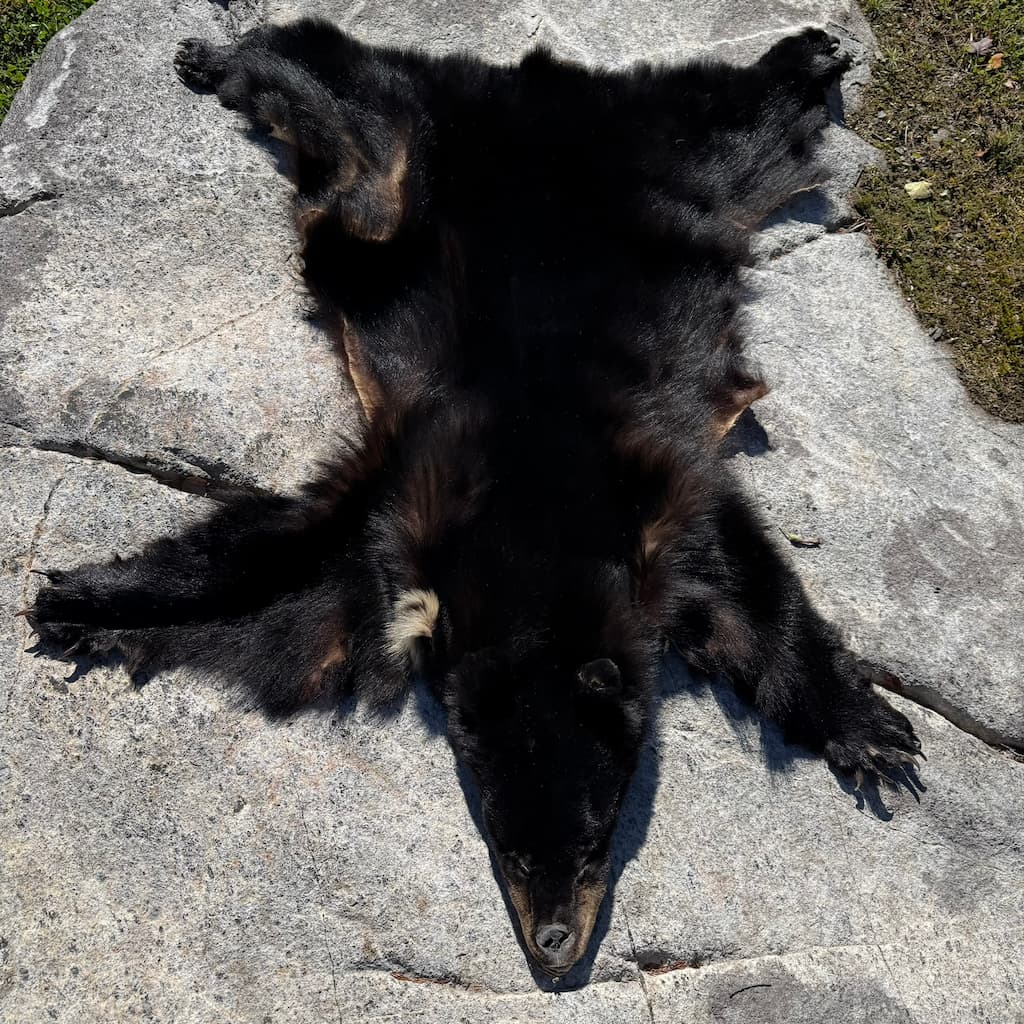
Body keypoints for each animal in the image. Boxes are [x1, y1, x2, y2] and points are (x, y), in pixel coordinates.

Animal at [26, 18, 922, 981]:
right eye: (508, 850)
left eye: (596, 844)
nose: (555, 950)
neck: (536, 533)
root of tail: (529, 93)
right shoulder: (409, 491)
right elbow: (273, 566)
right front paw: (80, 603)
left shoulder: (656, 492)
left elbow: (751, 582)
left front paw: (873, 734)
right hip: (413, 152)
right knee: (343, 94)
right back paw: (219, 57)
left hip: (658, 159)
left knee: (735, 124)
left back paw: (812, 57)